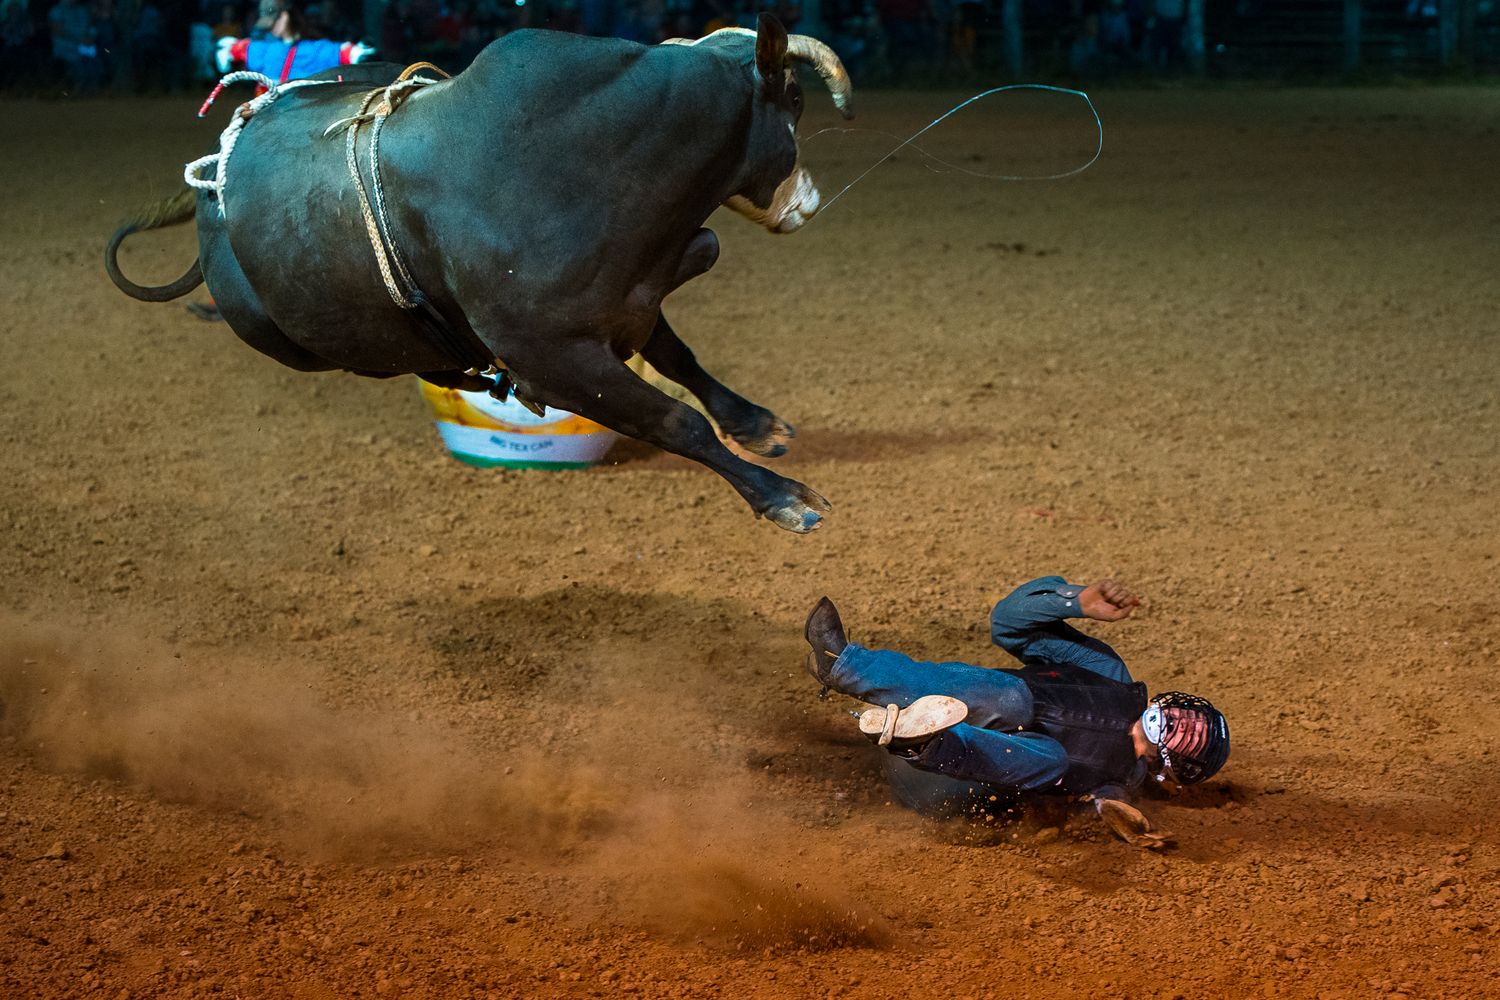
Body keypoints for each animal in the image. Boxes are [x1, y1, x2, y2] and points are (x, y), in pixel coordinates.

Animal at [106, 16, 853, 533]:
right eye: (793, 96)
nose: (810, 201)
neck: (573, 158)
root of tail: (212, 178)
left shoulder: (624, 300)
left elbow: (678, 351)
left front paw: (755, 423)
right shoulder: (551, 358)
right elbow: (675, 421)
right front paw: (784, 498)